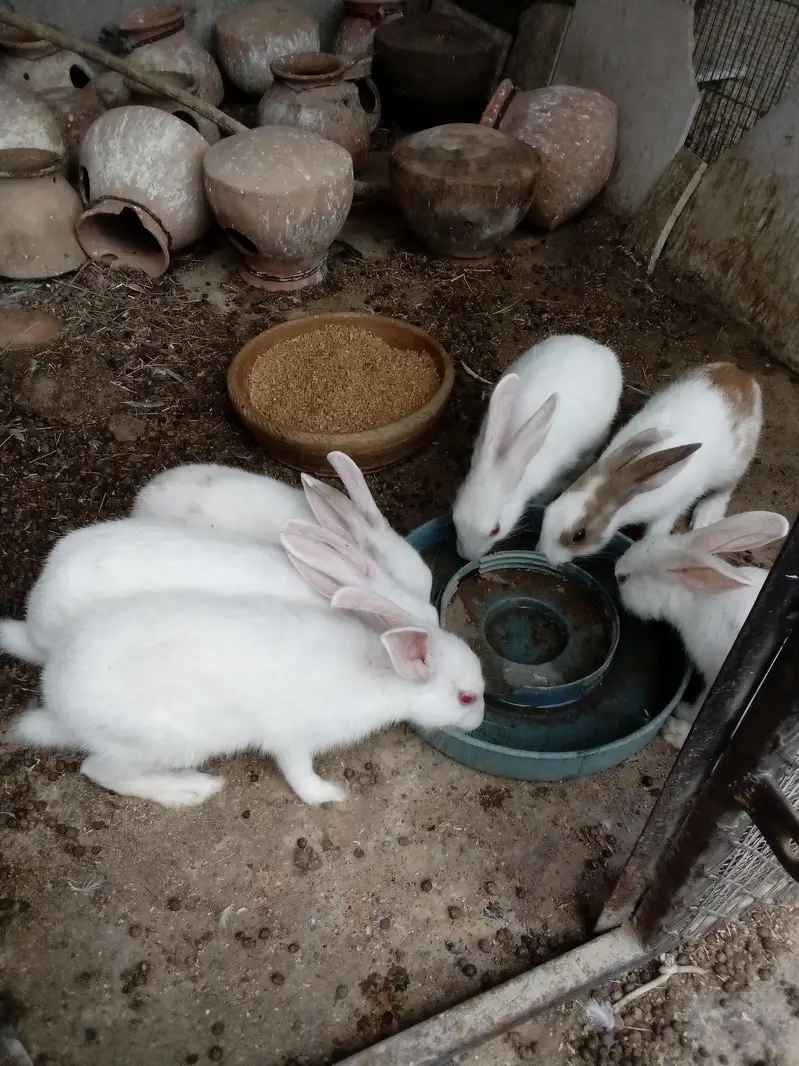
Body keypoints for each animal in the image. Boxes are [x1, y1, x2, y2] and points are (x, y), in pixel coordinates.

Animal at [7, 586, 485, 807]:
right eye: (466, 697)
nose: (480, 721)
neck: (381, 670)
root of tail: (57, 699)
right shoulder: (293, 739)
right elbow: (299, 775)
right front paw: (329, 795)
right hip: (160, 741)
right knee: (99, 771)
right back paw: (189, 790)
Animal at [539, 362, 763, 566]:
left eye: (579, 535)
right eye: (554, 501)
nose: (545, 554)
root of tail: (743, 376)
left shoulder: (673, 507)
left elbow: (657, 530)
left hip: (734, 464)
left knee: (726, 488)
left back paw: (706, 516)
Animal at [615, 509, 789, 749]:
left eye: (624, 578)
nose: (616, 570)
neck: (698, 596)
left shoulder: (716, 678)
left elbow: (702, 711)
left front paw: (679, 719)